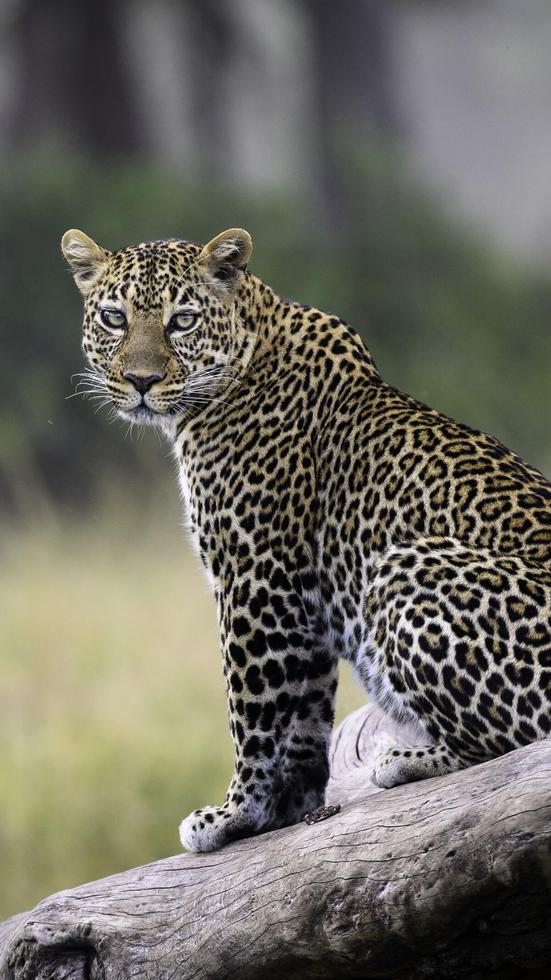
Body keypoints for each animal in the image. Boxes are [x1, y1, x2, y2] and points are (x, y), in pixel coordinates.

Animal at [61, 226, 551, 853]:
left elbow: (251, 707)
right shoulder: (298, 601)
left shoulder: (254, 576)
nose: (140, 382)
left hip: (403, 569)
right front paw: (286, 811)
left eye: (183, 321)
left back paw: (407, 759)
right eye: (114, 318)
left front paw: (232, 815)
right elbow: (300, 715)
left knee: (506, 743)